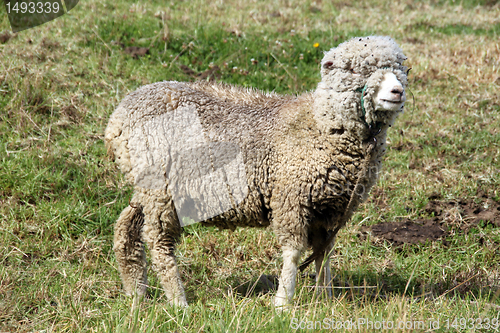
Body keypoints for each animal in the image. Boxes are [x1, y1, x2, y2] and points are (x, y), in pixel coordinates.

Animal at [104, 35, 406, 308]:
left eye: (402, 69)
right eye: (355, 69)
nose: (397, 92)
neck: (320, 125)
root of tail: (118, 119)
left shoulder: (331, 209)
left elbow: (324, 254)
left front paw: (326, 299)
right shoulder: (291, 199)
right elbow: (293, 252)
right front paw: (283, 303)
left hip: (147, 186)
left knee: (126, 226)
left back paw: (136, 294)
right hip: (161, 188)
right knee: (158, 242)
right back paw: (179, 302)